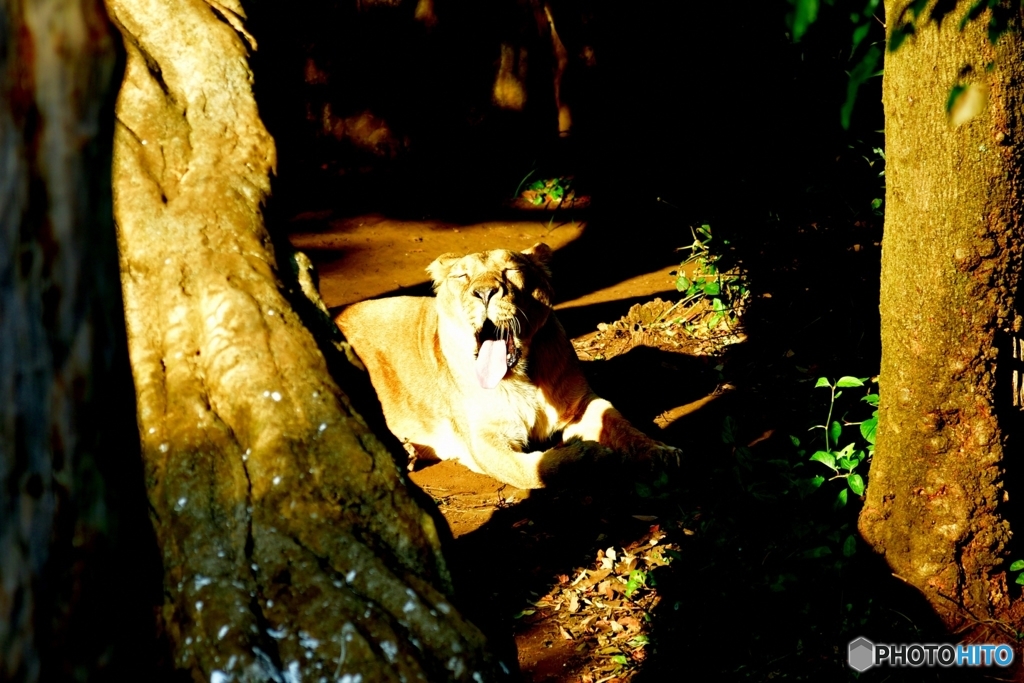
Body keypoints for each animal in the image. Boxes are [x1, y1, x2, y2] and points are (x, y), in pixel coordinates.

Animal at [335, 242, 679, 489]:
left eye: (510, 270)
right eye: (462, 277)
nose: (485, 292)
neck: (523, 375)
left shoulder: (581, 405)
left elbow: (619, 423)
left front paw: (660, 452)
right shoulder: (483, 440)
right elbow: (533, 470)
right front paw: (590, 456)